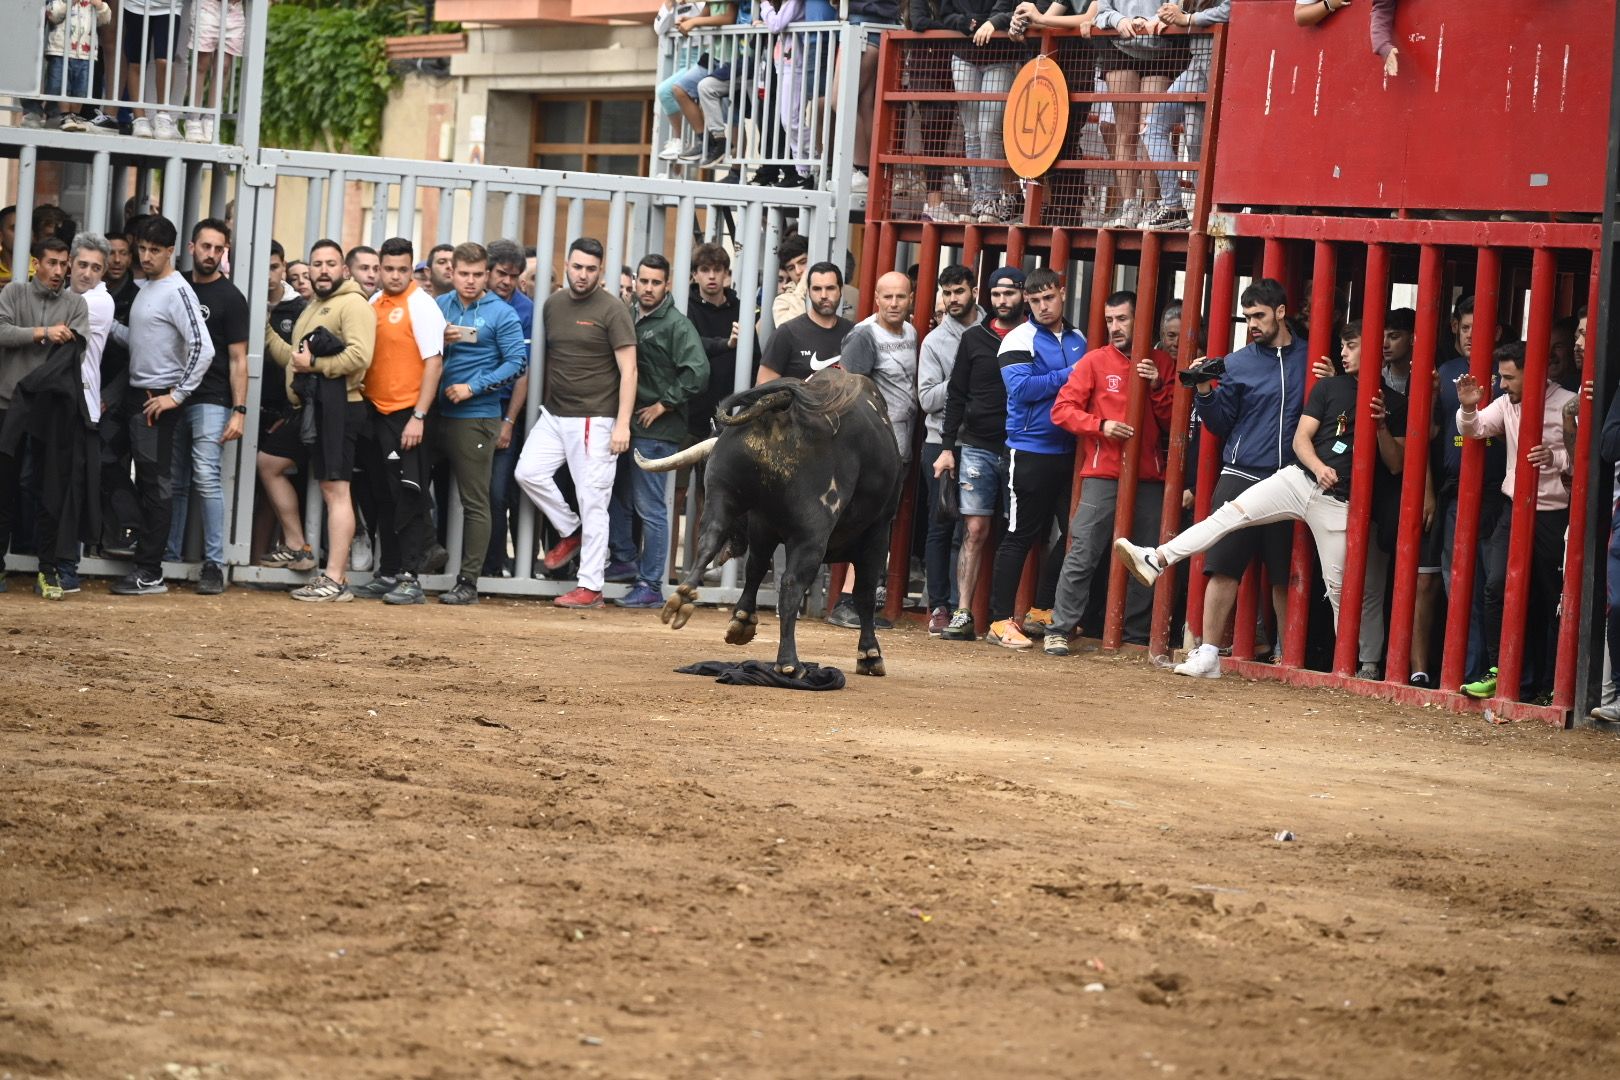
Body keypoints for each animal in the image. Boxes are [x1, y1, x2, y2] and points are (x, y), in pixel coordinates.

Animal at [631, 372, 907, 676]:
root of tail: (781, 405)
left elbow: (755, 568)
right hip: (813, 533)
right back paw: (789, 662)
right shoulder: (877, 532)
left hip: (722, 497)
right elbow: (865, 593)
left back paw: (683, 598)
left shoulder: (761, 525)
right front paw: (869, 654)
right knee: (791, 586)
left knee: (711, 542)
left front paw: (741, 619)